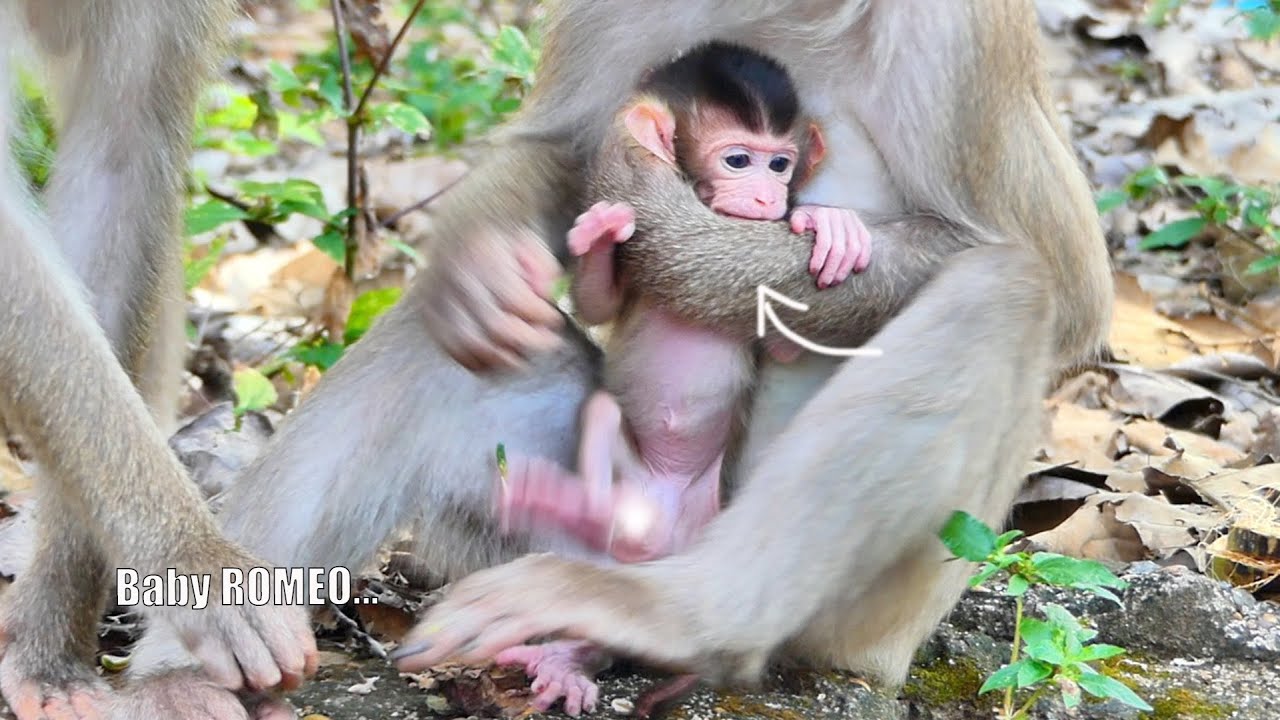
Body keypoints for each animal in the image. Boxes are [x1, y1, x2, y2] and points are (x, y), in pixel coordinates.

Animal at [117, 1, 1111, 717]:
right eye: (739, 157)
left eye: (780, 165)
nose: (766, 196)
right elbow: (562, 151)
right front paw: (476, 262)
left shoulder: (967, 33)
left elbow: (1058, 285)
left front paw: (816, 236)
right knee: (443, 348)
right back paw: (190, 667)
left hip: (867, 618)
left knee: (1007, 289)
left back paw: (690, 619)